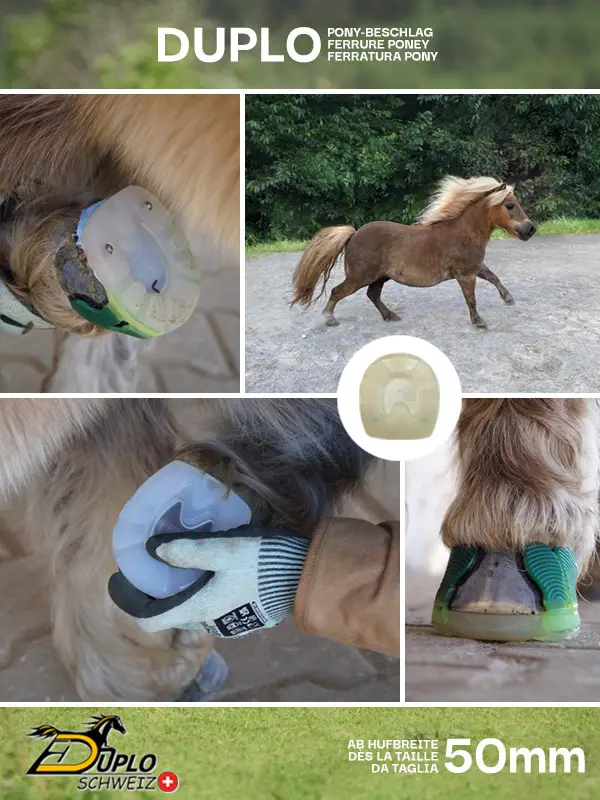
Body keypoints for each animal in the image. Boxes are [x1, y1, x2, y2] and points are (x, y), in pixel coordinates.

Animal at [291, 176, 536, 329]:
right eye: (510, 205)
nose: (531, 229)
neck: (463, 232)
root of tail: (353, 234)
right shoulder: (466, 274)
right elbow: (471, 299)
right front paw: (479, 322)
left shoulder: (474, 267)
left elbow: (494, 277)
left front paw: (508, 298)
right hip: (360, 277)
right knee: (337, 292)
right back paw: (329, 319)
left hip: (380, 277)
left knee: (373, 295)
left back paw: (390, 316)